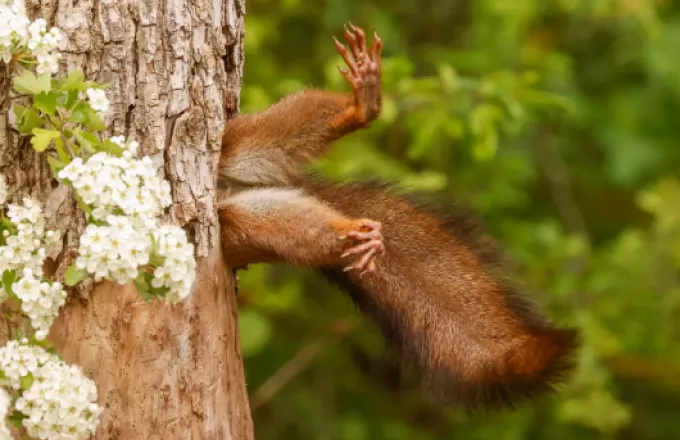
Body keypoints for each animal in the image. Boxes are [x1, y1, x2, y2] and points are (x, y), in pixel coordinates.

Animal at [218, 23, 580, 410]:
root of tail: (230, 189)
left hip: (237, 143)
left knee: (279, 130)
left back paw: (362, 107)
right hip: (240, 225)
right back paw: (353, 235)